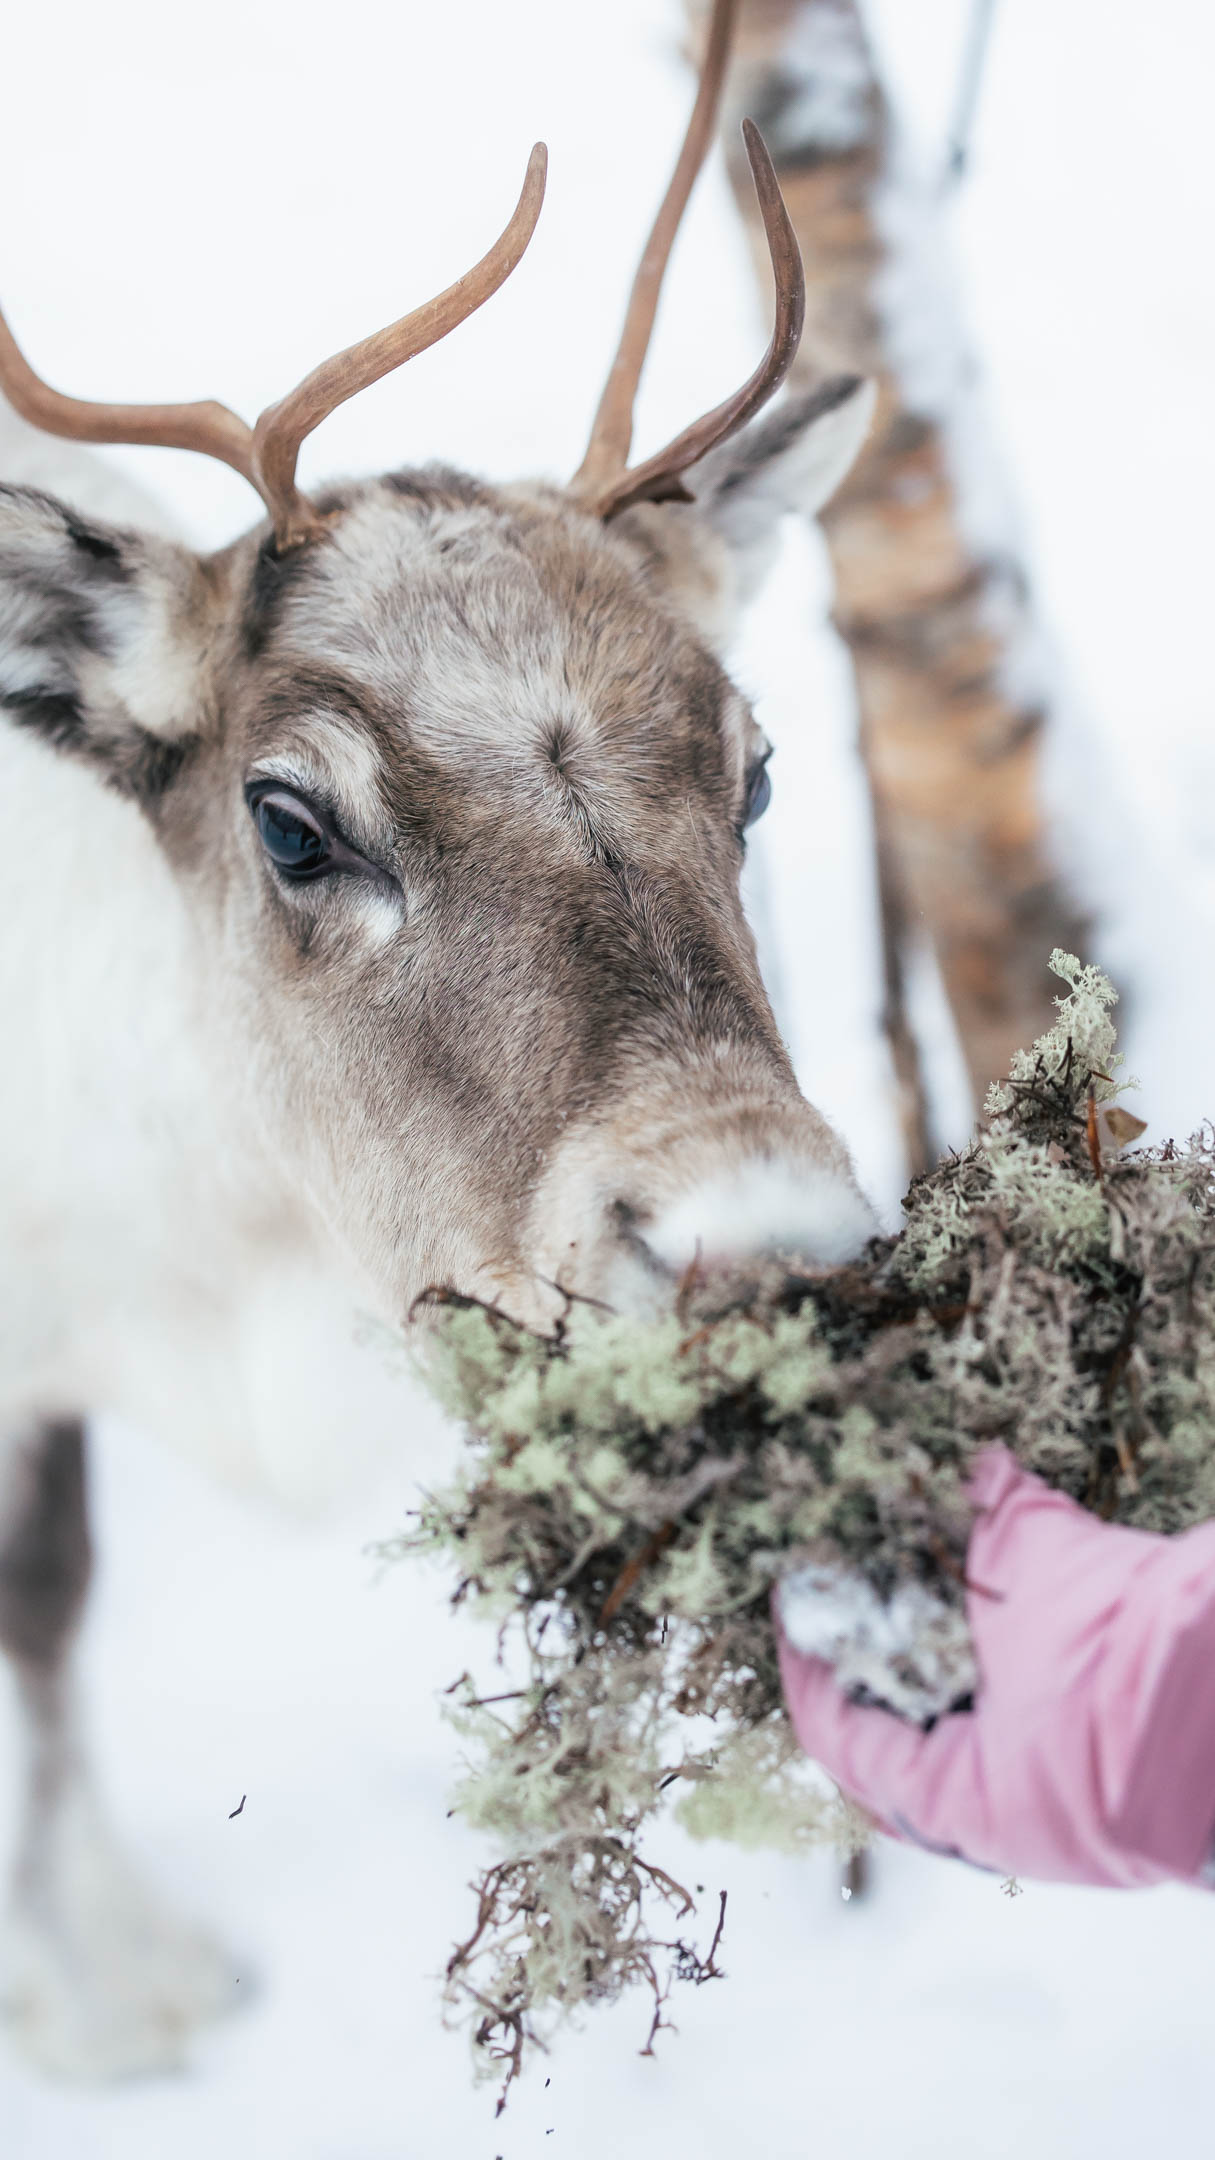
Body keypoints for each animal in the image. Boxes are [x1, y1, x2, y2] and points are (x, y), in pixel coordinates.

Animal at [0, 0, 878, 2081]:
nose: (755, 1245)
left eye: (759, 767)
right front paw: (97, 2004)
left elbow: (55, 1607)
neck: (208, 1262)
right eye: (290, 820)